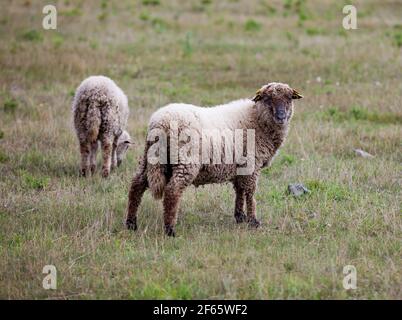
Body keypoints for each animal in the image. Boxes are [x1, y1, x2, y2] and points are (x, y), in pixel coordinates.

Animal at [125, 82, 302, 238]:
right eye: (267, 99)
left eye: (289, 98)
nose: (281, 116)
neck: (257, 118)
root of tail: (161, 122)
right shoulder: (252, 165)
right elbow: (250, 193)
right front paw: (253, 221)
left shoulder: (240, 167)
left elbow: (240, 191)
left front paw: (240, 217)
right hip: (186, 162)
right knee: (172, 191)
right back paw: (170, 230)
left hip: (149, 157)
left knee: (136, 185)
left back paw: (131, 224)